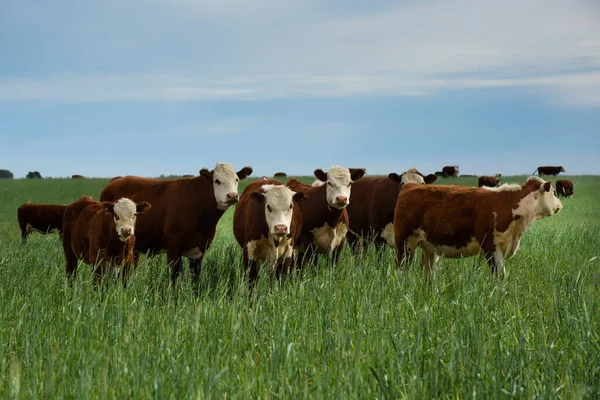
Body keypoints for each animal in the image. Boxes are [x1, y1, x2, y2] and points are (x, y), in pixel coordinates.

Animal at [98, 162, 251, 284]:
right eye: (217, 181)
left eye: (236, 179)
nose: (232, 195)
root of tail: (118, 179)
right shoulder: (173, 246)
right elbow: (174, 277)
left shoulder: (199, 250)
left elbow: (196, 278)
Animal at [394, 178, 564, 278]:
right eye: (553, 192)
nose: (560, 205)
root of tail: (410, 186)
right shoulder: (490, 246)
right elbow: (499, 275)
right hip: (404, 244)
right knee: (401, 269)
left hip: (429, 248)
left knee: (429, 273)